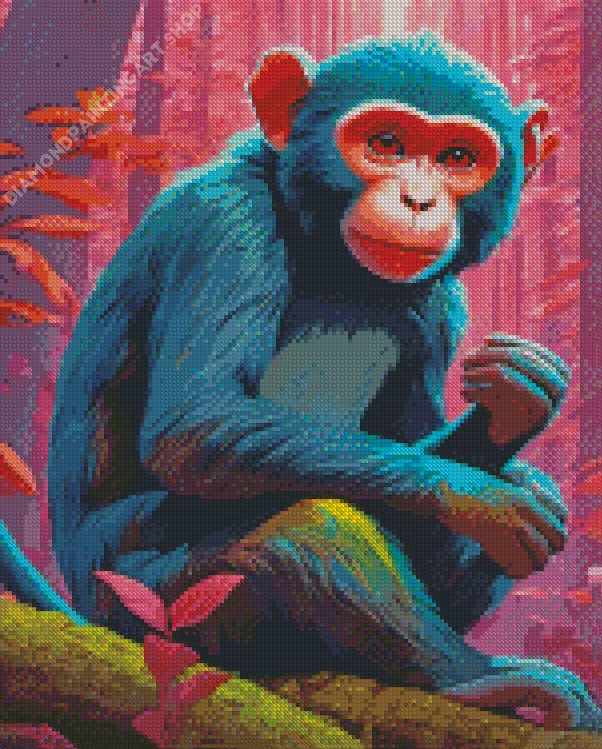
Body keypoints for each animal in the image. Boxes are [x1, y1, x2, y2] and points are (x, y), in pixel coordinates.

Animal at [0, 33, 599, 730]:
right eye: (386, 142)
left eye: (457, 157)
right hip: (149, 608)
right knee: (313, 526)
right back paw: (476, 679)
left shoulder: (440, 304)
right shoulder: (226, 222)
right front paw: (481, 495)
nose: (419, 199)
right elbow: (198, 422)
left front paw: (519, 397)